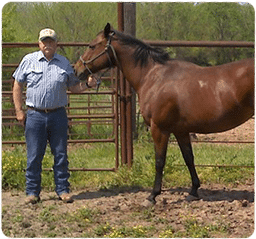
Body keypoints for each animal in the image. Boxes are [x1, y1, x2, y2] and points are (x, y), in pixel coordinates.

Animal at [73, 23, 254, 204]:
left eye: (92, 46)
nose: (76, 69)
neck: (153, 77)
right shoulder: (181, 131)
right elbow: (189, 158)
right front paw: (193, 190)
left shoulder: (159, 129)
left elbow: (159, 161)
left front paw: (153, 195)